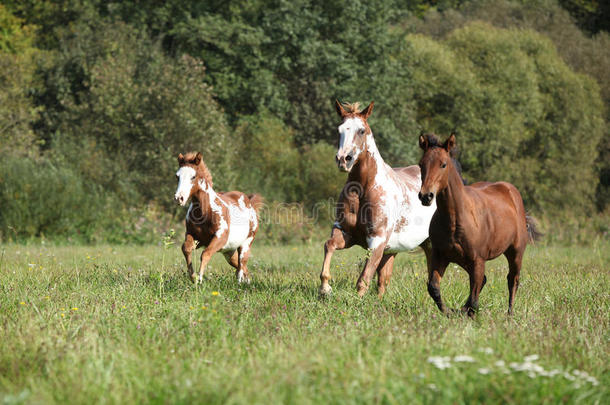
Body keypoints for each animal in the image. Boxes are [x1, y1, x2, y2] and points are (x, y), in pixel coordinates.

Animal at [175, 152, 262, 284]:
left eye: (193, 176)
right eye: (177, 176)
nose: (179, 198)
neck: (204, 212)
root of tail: (250, 203)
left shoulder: (220, 237)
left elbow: (205, 254)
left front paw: (200, 278)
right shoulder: (193, 236)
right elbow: (186, 249)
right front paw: (193, 277)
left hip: (246, 244)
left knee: (241, 265)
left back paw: (240, 283)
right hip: (229, 252)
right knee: (242, 267)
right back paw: (247, 282)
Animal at [318, 101, 436, 296]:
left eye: (361, 130)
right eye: (339, 129)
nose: (343, 159)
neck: (364, 189)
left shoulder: (377, 241)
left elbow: (363, 280)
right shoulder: (345, 232)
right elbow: (329, 245)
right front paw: (325, 288)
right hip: (394, 250)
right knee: (383, 281)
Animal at [416, 133, 540, 316]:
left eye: (443, 164)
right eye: (421, 164)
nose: (426, 196)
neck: (455, 220)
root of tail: (511, 191)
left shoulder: (478, 260)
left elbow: (475, 300)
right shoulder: (440, 256)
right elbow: (434, 288)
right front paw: (450, 312)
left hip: (515, 252)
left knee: (513, 280)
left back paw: (510, 313)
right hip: (463, 260)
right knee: (484, 281)